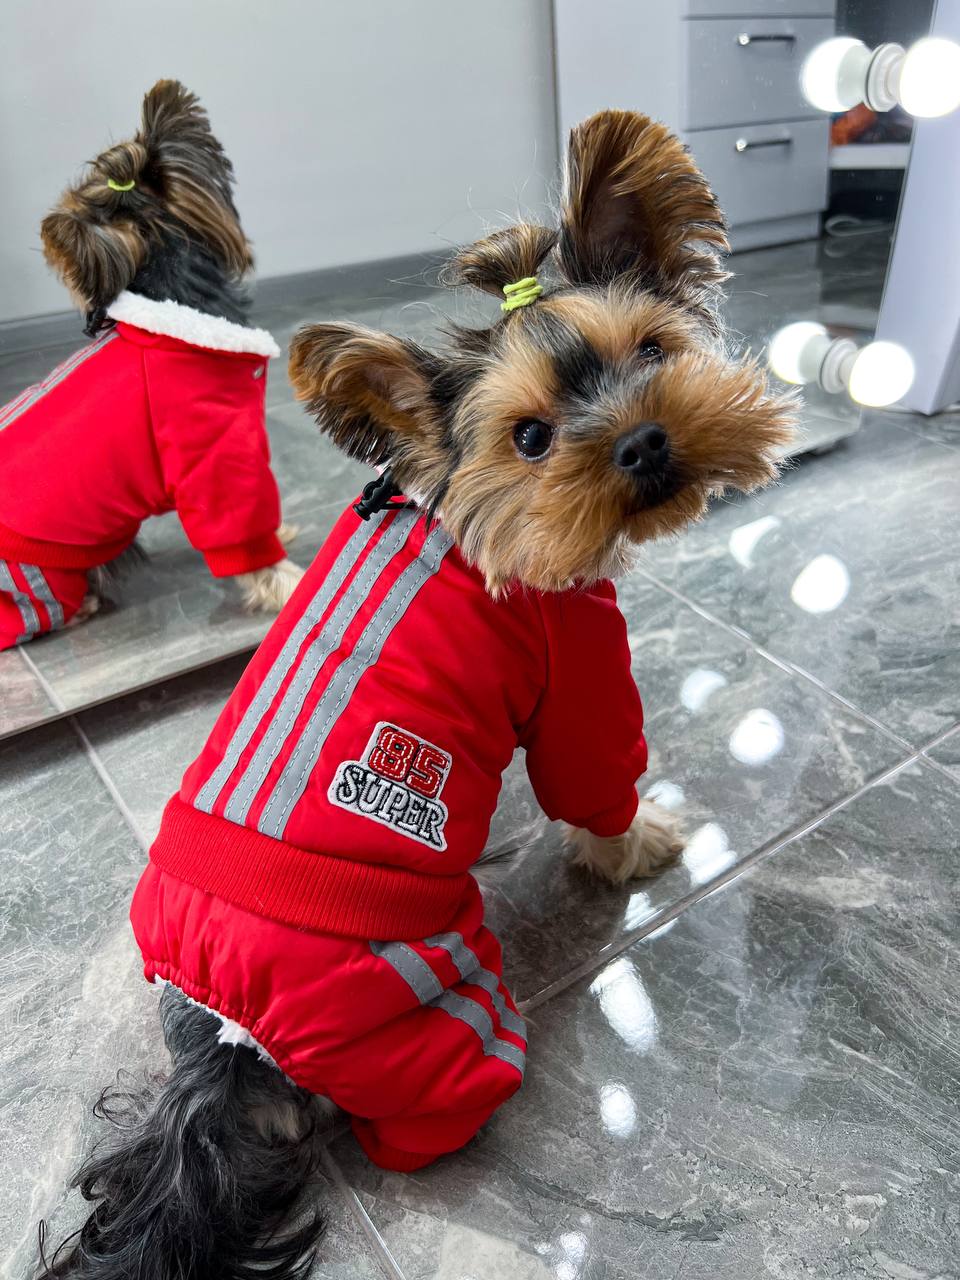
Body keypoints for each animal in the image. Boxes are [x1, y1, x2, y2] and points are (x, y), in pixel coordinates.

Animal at [0, 80, 300, 650]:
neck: (174, 305)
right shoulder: (218, 452)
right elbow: (245, 532)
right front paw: (289, 584)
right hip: (36, 577)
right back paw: (82, 608)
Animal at [39, 112, 798, 1280]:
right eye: (530, 438)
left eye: (653, 352)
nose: (643, 442)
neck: (472, 519)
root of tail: (224, 1051)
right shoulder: (578, 664)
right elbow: (597, 779)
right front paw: (639, 842)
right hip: (439, 1011)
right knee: (429, 1112)